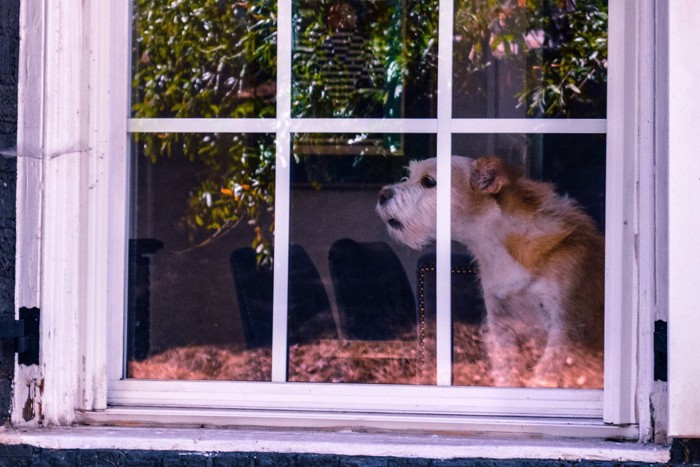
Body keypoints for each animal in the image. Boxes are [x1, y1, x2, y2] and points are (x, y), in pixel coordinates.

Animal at [374, 157, 604, 388]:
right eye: (410, 175)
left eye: (428, 181)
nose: (382, 193)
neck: (497, 247)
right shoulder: (501, 327)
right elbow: (507, 375)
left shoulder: (567, 328)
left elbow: (543, 375)